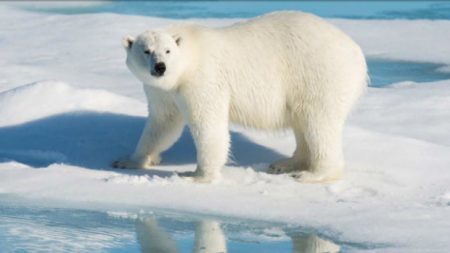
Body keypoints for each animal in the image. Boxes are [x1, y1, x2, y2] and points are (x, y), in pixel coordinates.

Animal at [114, 11, 368, 183]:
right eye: (146, 51)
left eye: (167, 51)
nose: (160, 67)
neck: (190, 55)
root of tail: (357, 53)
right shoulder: (164, 91)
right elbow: (162, 124)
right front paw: (129, 160)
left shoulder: (202, 79)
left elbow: (208, 125)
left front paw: (197, 175)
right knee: (302, 123)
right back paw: (285, 164)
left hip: (319, 74)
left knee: (318, 122)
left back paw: (311, 174)